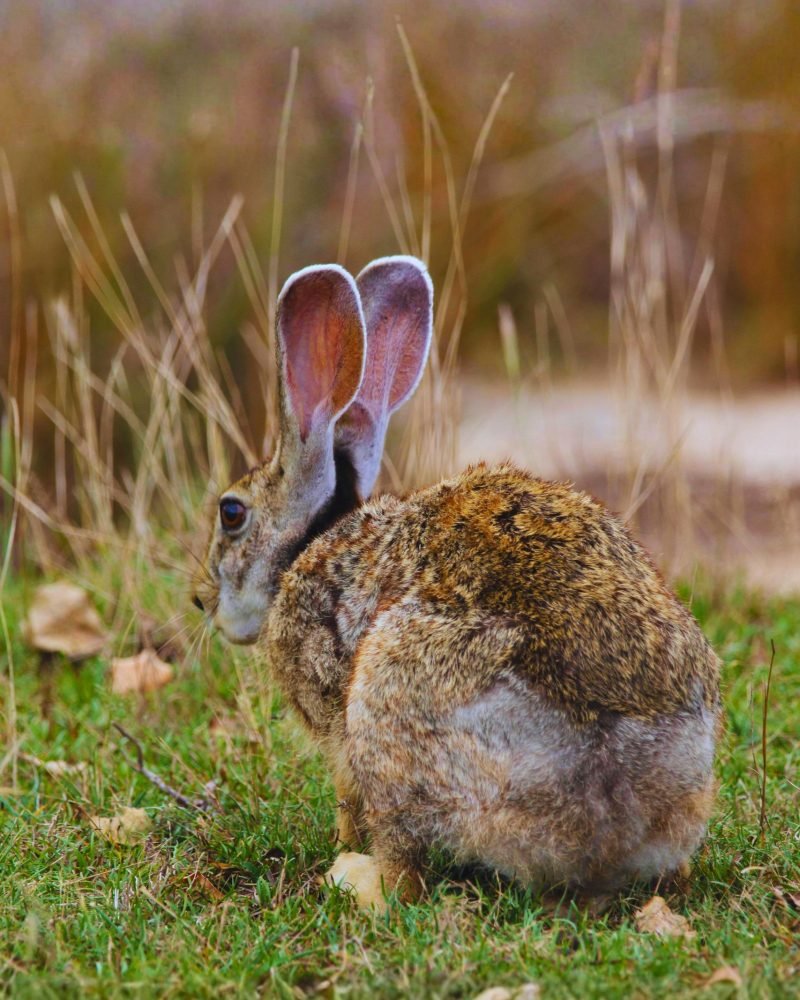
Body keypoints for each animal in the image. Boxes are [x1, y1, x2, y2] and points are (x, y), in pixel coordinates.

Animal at [194, 255, 721, 909]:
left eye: (231, 513)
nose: (201, 601)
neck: (309, 541)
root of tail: (618, 803)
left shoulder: (335, 720)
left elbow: (345, 793)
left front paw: (342, 843)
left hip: (390, 697)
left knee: (405, 865)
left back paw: (356, 879)